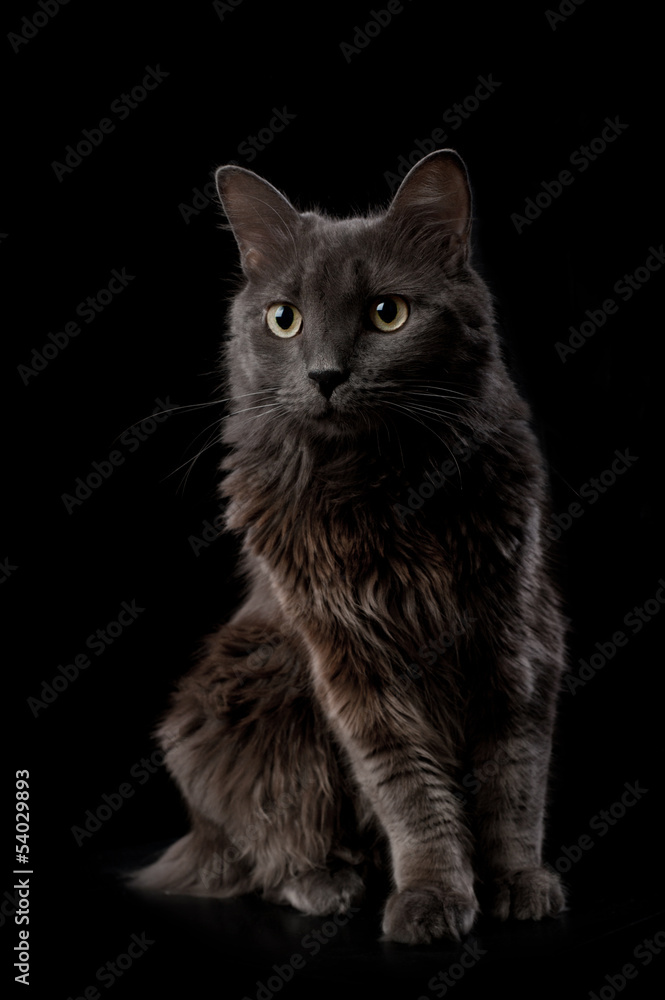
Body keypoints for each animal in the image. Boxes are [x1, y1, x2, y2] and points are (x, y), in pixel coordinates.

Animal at [134, 146, 564, 936]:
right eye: (284, 320)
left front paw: (516, 883)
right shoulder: (353, 664)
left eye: (386, 314)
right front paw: (433, 895)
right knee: (264, 849)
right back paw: (330, 882)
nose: (326, 374)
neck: (380, 491)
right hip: (249, 690)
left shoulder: (515, 637)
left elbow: (512, 781)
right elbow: (409, 790)